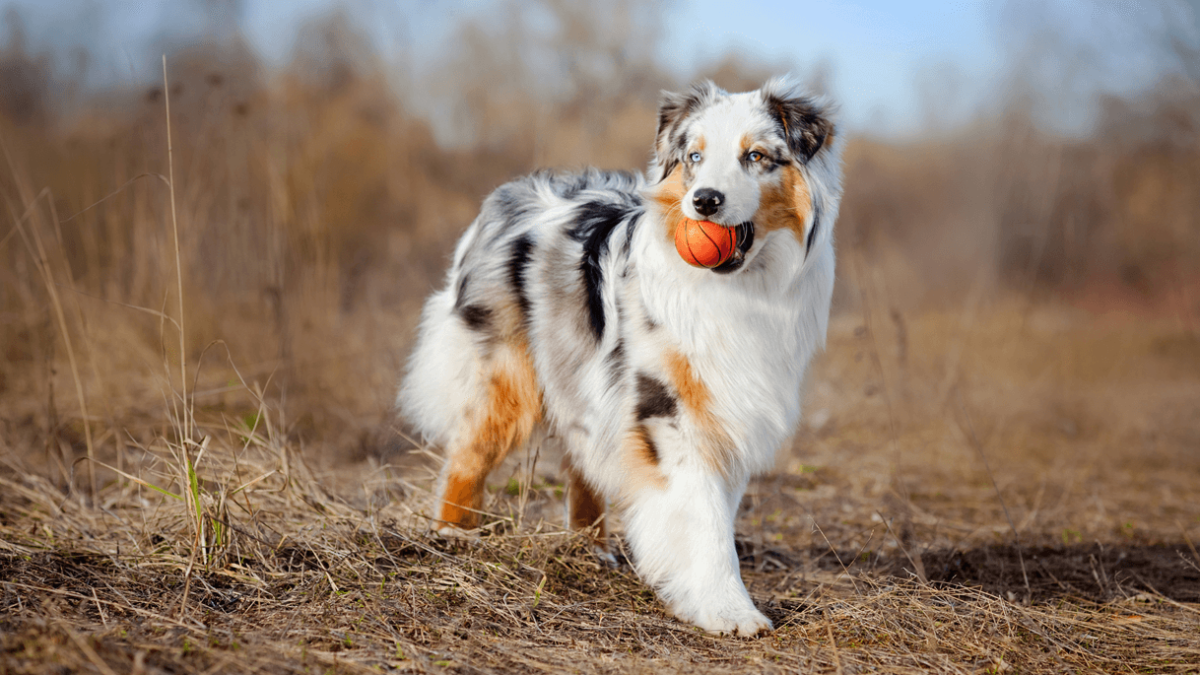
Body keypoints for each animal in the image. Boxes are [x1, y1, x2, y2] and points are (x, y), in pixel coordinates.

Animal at [398, 76, 840, 634]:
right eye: (695, 157)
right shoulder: (667, 409)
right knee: (469, 453)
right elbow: (705, 518)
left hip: (581, 377)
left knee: (582, 460)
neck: (739, 289)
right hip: (507, 377)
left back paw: (590, 549)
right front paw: (728, 610)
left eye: (756, 156)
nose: (704, 201)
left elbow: (715, 508)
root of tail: (509, 194)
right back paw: (453, 535)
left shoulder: (728, 407)